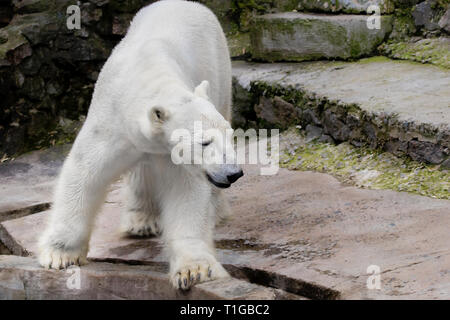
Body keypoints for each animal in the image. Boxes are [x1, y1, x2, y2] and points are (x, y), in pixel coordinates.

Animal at [38, 0, 243, 290]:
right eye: (204, 141)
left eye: (229, 135)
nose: (233, 173)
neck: (149, 73)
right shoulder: (111, 123)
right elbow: (85, 173)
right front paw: (60, 255)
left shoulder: (174, 153)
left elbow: (186, 193)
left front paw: (195, 270)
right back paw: (141, 222)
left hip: (220, 70)